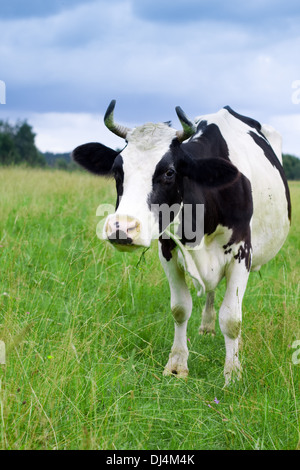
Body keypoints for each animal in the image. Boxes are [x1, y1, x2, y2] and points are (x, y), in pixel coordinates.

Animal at [72, 100, 290, 386]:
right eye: (117, 171)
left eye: (169, 172)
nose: (121, 228)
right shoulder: (167, 250)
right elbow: (180, 308)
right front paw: (176, 366)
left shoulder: (242, 252)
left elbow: (232, 317)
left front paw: (233, 374)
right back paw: (206, 327)